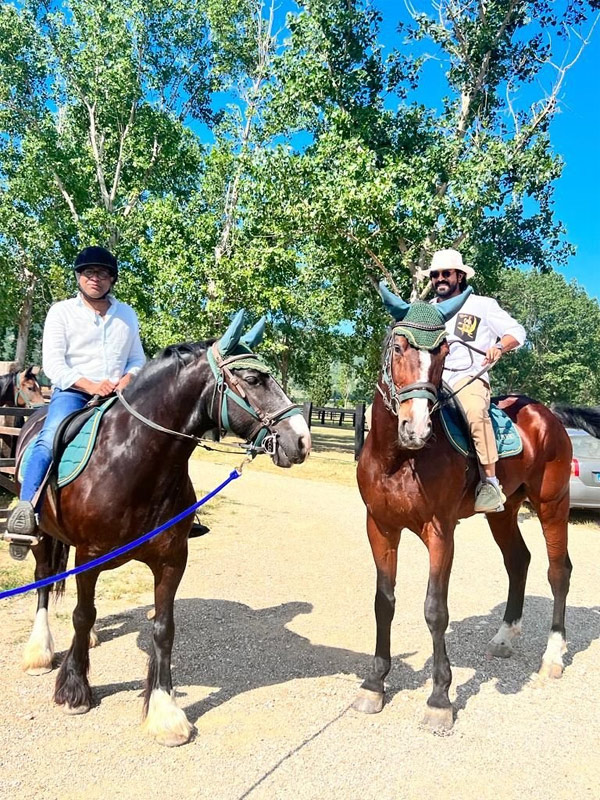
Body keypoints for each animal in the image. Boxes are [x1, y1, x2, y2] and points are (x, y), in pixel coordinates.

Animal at [12, 310, 312, 748]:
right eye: (254, 379)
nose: (302, 441)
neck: (132, 460)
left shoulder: (172, 559)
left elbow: (163, 629)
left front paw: (165, 713)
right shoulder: (88, 556)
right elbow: (83, 614)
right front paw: (74, 689)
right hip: (43, 537)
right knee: (43, 581)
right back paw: (40, 650)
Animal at [354, 286, 596, 732]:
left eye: (445, 350)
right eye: (398, 346)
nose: (417, 428)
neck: (401, 458)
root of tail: (547, 412)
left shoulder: (440, 532)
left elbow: (435, 610)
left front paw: (439, 699)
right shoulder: (379, 527)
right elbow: (384, 601)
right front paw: (374, 684)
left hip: (553, 504)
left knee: (559, 571)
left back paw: (553, 656)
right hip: (503, 512)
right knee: (519, 561)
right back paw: (503, 637)